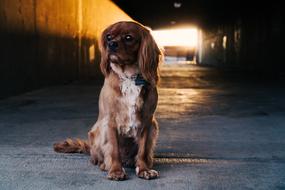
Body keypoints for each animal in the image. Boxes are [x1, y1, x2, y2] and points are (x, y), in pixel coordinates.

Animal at [53, 21, 162, 181]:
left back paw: (137, 162)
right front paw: (116, 171)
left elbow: (142, 150)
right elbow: (113, 149)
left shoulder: (147, 122)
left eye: (128, 37)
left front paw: (144, 169)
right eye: (108, 37)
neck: (129, 77)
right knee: (97, 157)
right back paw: (104, 164)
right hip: (96, 131)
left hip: (154, 127)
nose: (111, 44)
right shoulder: (110, 122)